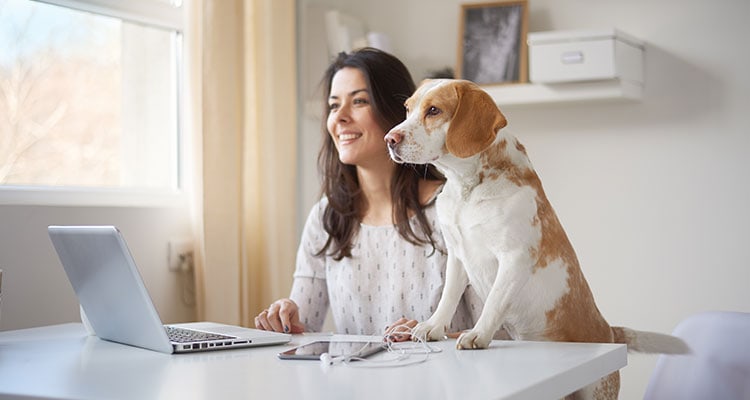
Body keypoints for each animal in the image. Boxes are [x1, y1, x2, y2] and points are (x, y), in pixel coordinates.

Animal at [384, 79, 692, 400]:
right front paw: (433, 327)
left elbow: (494, 301)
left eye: (434, 110)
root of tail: (609, 332)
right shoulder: (458, 255)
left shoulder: (514, 256)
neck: (467, 188)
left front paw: (478, 334)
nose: (389, 139)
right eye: (407, 108)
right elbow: (448, 298)